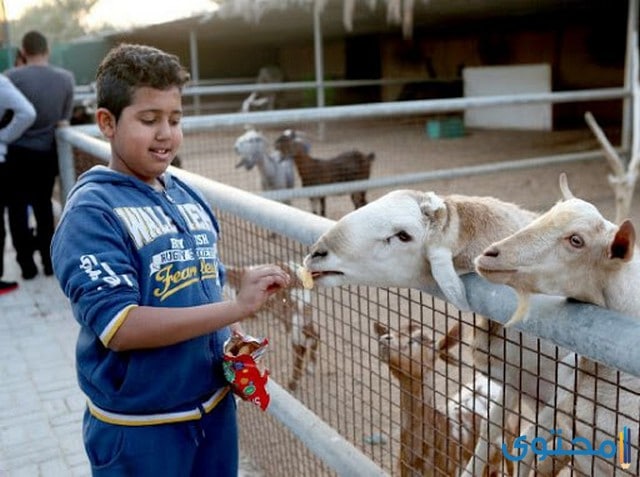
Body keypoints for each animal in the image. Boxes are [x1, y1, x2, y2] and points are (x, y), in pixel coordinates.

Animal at [224, 260, 318, 390]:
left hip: (294, 319)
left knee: (301, 347)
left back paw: (293, 383)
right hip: (305, 316)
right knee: (314, 336)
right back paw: (310, 368)